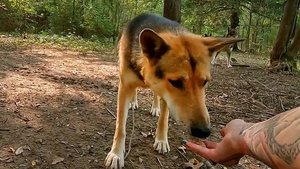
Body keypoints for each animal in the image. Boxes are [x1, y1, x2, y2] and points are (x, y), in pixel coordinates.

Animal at [104, 12, 243, 168]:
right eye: (176, 82)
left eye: (205, 82)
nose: (203, 132)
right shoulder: (124, 86)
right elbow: (120, 127)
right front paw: (116, 154)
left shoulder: (166, 95)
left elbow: (164, 119)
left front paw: (161, 140)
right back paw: (133, 102)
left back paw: (155, 107)